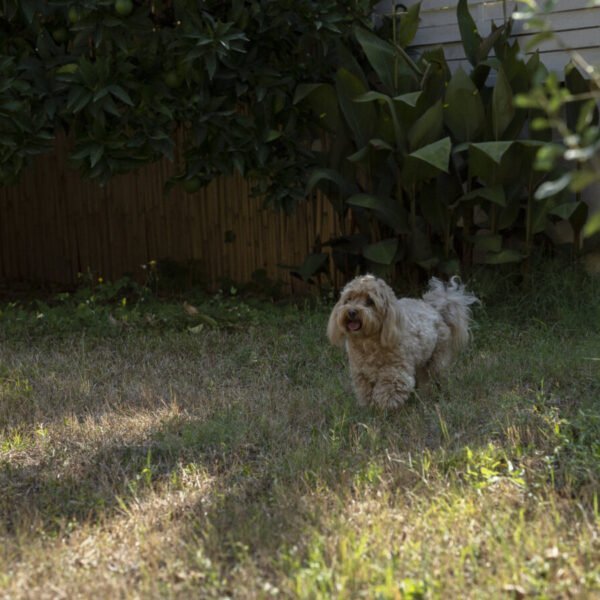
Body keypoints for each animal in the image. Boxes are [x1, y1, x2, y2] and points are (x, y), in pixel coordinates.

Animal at [328, 276, 478, 408]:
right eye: (348, 299)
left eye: (370, 301)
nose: (351, 311)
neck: (368, 342)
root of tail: (437, 310)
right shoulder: (361, 374)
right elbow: (365, 392)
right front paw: (369, 407)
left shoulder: (395, 372)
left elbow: (388, 391)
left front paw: (384, 408)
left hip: (435, 360)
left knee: (432, 377)